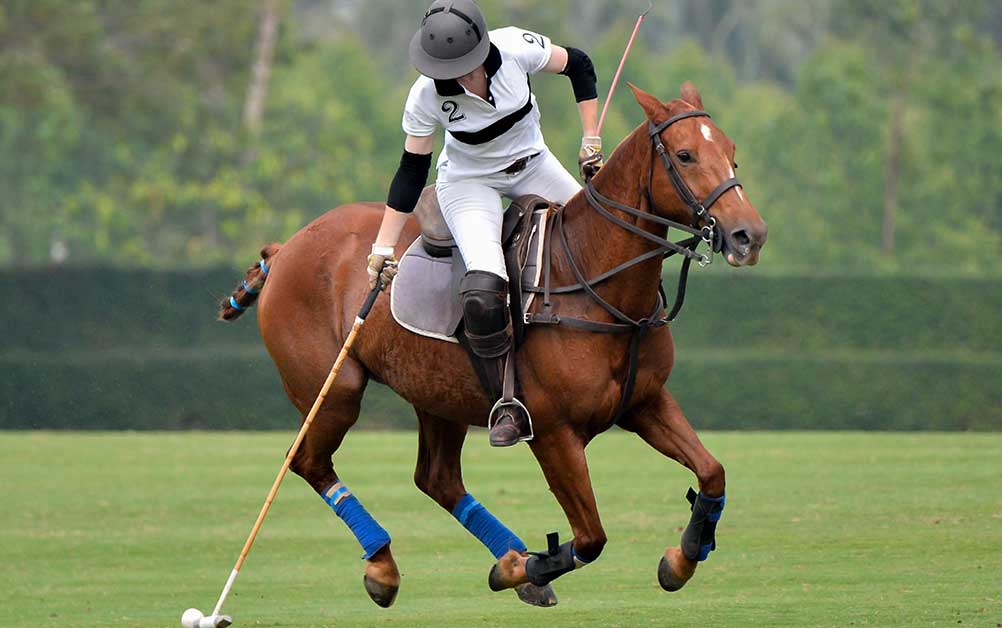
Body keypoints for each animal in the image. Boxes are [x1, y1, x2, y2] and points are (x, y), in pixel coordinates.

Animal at [219, 82, 765, 608]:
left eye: (732, 153)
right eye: (686, 155)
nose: (749, 235)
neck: (595, 283)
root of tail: (285, 248)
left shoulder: (645, 402)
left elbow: (712, 472)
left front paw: (683, 555)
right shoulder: (552, 431)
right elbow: (590, 538)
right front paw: (523, 568)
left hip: (435, 394)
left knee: (436, 478)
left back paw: (501, 555)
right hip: (333, 389)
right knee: (308, 462)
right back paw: (385, 566)